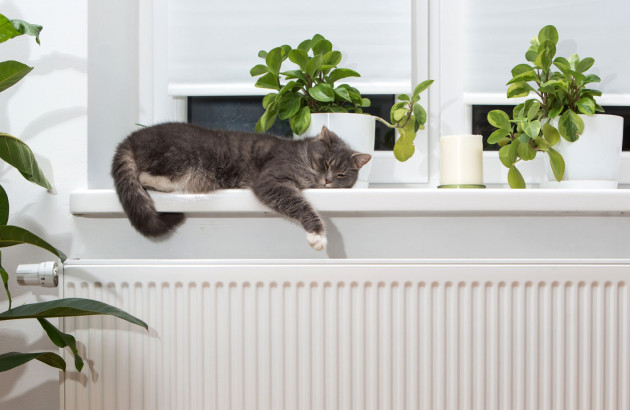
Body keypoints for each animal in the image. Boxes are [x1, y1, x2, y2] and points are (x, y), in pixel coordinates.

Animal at [111, 121, 372, 250]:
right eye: (325, 162)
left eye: (341, 174)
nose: (327, 180)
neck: (302, 156)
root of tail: (131, 139)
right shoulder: (269, 180)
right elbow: (299, 203)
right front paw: (317, 235)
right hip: (181, 158)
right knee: (144, 176)